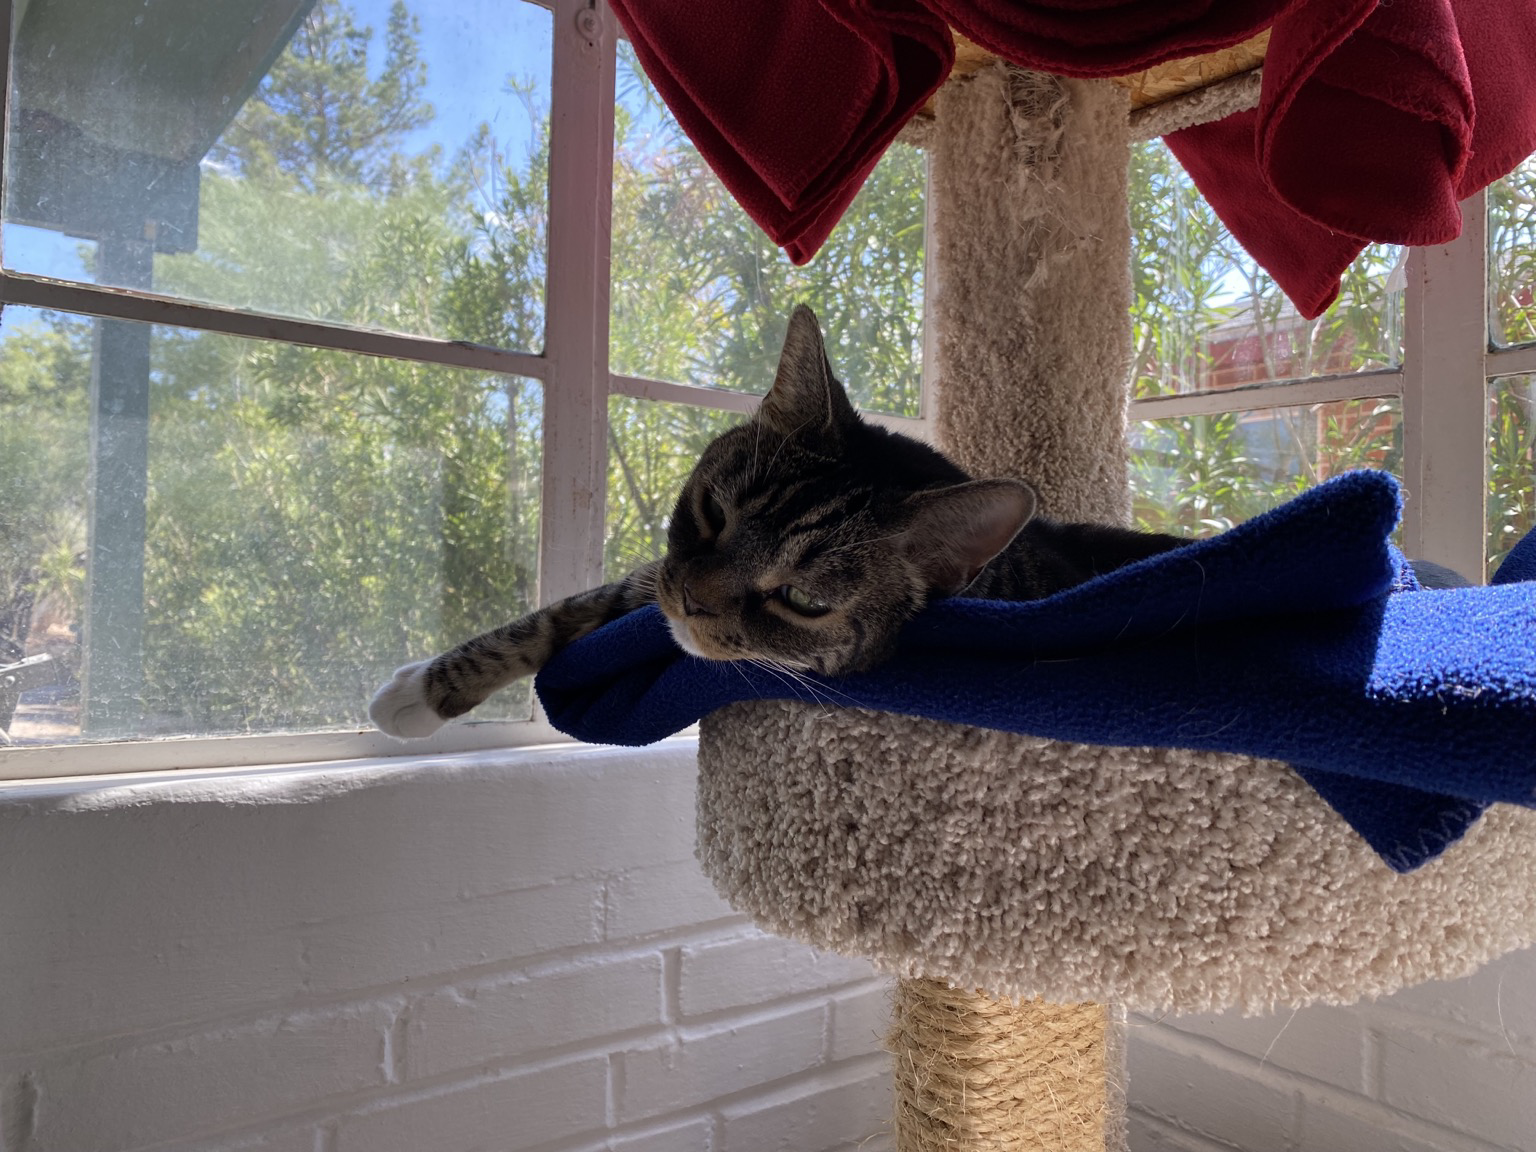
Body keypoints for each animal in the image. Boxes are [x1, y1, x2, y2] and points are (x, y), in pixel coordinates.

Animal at [370, 305, 1187, 739]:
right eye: (711, 512)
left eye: (803, 600)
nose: (691, 603)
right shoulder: (656, 576)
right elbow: (570, 608)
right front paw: (425, 687)